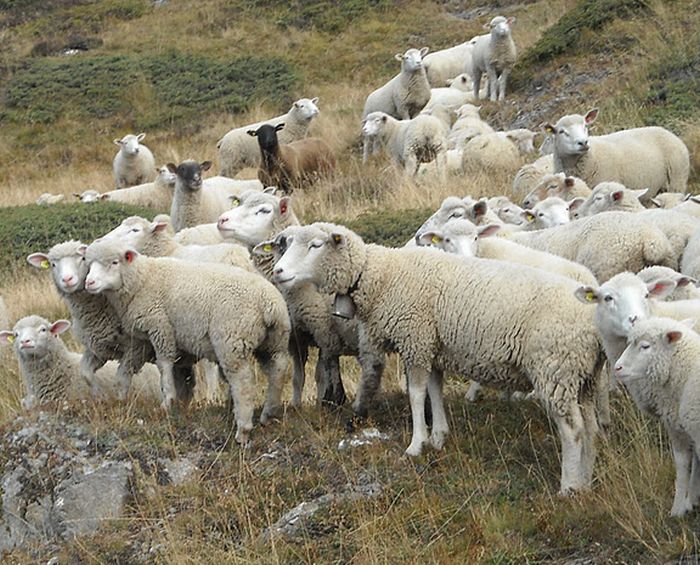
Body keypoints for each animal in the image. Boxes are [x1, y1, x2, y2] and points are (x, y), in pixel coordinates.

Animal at [83, 238, 292, 440]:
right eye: (89, 264)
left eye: (114, 262)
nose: (89, 283)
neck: (142, 280)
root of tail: (269, 304)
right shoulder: (153, 338)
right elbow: (171, 372)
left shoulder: (161, 327)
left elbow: (164, 365)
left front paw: (167, 401)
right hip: (274, 341)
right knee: (278, 369)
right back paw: (268, 413)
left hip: (232, 340)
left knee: (243, 382)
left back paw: (243, 429)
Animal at [268, 223, 608, 492]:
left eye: (315, 245)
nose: (278, 272)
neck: (381, 275)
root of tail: (593, 326)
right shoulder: (431, 345)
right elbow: (434, 391)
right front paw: (439, 437)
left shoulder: (415, 338)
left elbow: (417, 395)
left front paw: (416, 444)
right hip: (583, 378)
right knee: (590, 429)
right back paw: (586, 482)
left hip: (555, 370)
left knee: (573, 431)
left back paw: (568, 487)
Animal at [612, 318, 700, 516]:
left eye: (645, 346)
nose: (617, 368)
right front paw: (691, 500)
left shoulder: (680, 427)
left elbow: (682, 464)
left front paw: (678, 509)